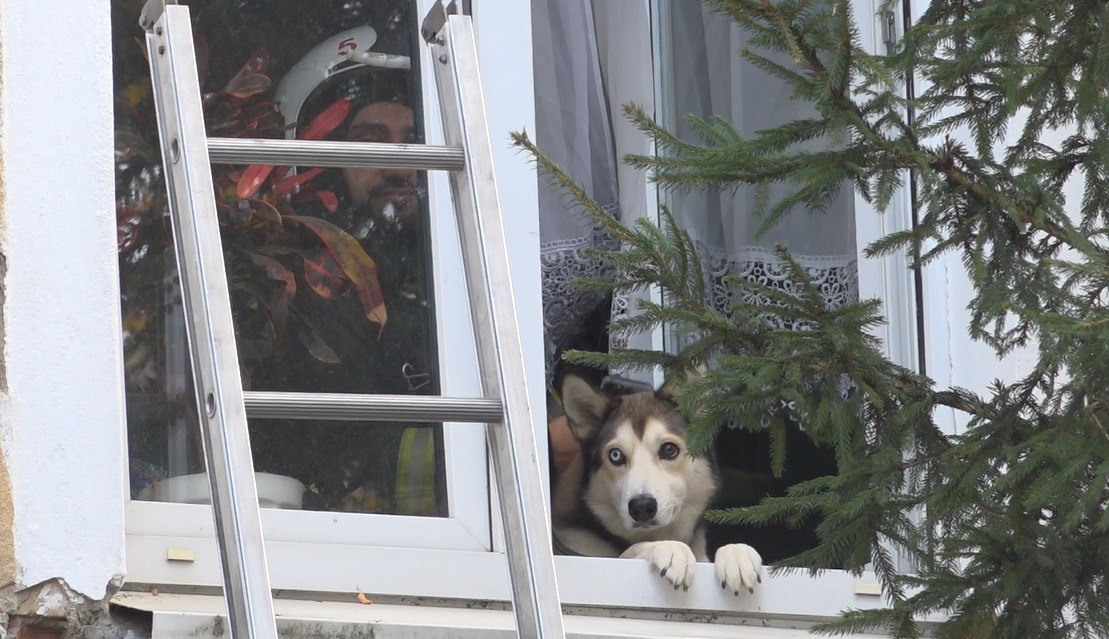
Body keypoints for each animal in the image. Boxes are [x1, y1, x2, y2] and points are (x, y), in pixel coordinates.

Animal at [552, 374, 762, 594]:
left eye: (669, 449)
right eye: (615, 455)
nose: (642, 506)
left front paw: (737, 554)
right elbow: (630, 551)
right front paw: (668, 547)